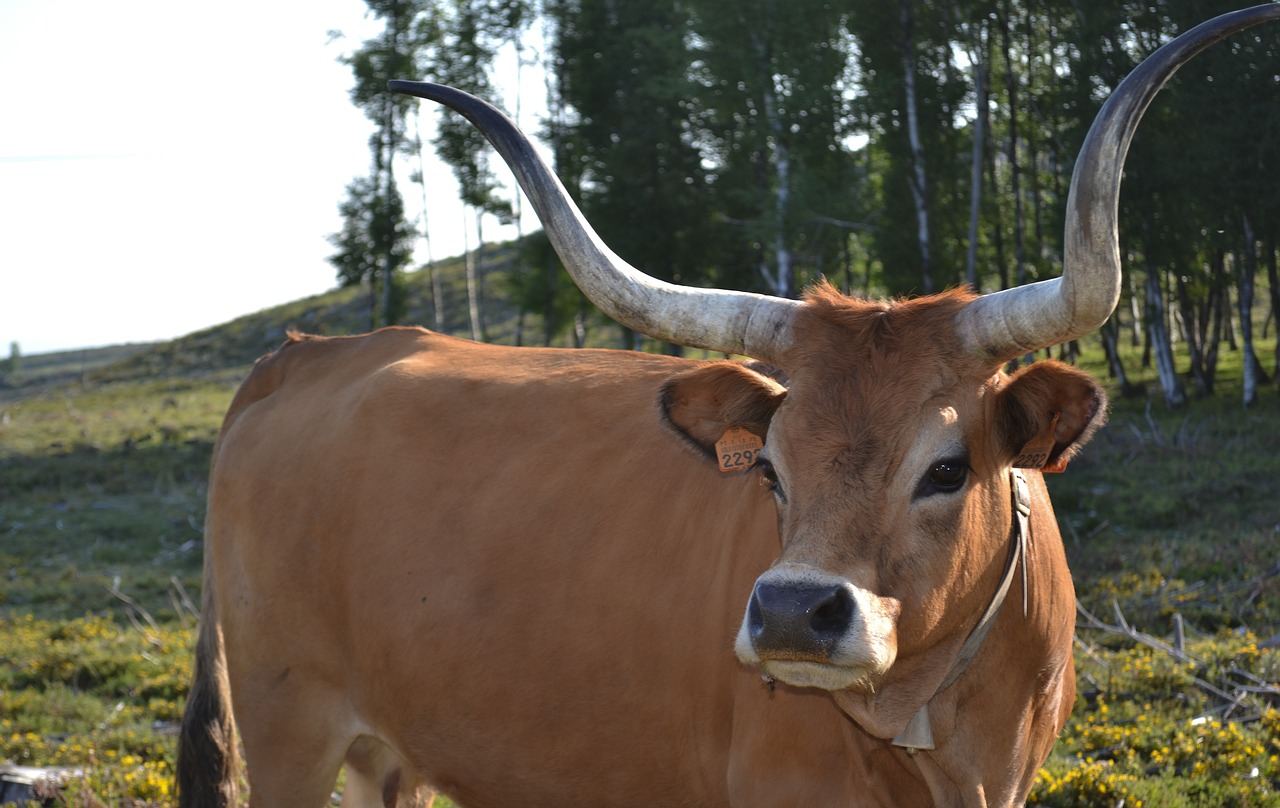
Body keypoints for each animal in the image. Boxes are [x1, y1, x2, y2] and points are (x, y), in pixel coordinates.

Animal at [177, 7, 1280, 808]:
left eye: (947, 467)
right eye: (770, 469)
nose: (793, 612)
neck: (942, 738)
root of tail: (304, 353)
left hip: (388, 748)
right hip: (288, 726)